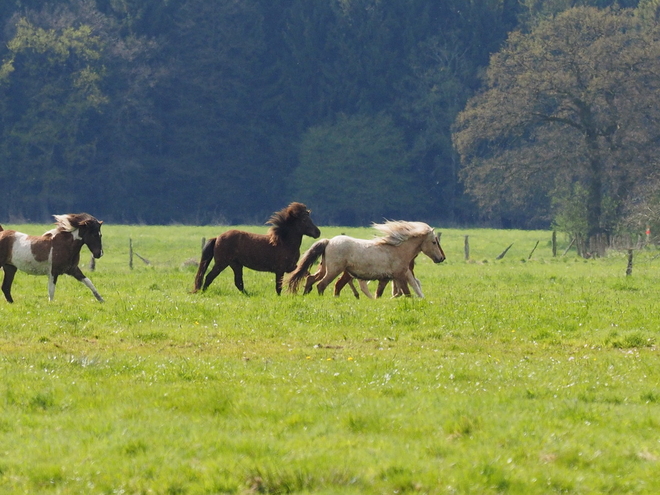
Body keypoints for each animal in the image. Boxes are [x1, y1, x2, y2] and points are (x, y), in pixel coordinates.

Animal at [192, 203, 320, 296]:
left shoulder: (291, 267)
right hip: (222, 263)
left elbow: (305, 273)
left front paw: (309, 288)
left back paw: (248, 295)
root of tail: (217, 237)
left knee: (238, 282)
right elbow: (278, 286)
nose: (318, 232)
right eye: (304, 220)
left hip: (236, 264)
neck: (284, 242)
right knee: (209, 277)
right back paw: (203, 292)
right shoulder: (280, 270)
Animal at [288, 222, 446, 298]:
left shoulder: (394, 277)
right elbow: (406, 292)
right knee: (321, 285)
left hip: (325, 268)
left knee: (311, 279)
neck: (398, 250)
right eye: (434, 242)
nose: (441, 258)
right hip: (334, 271)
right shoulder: (399, 275)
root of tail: (329, 241)